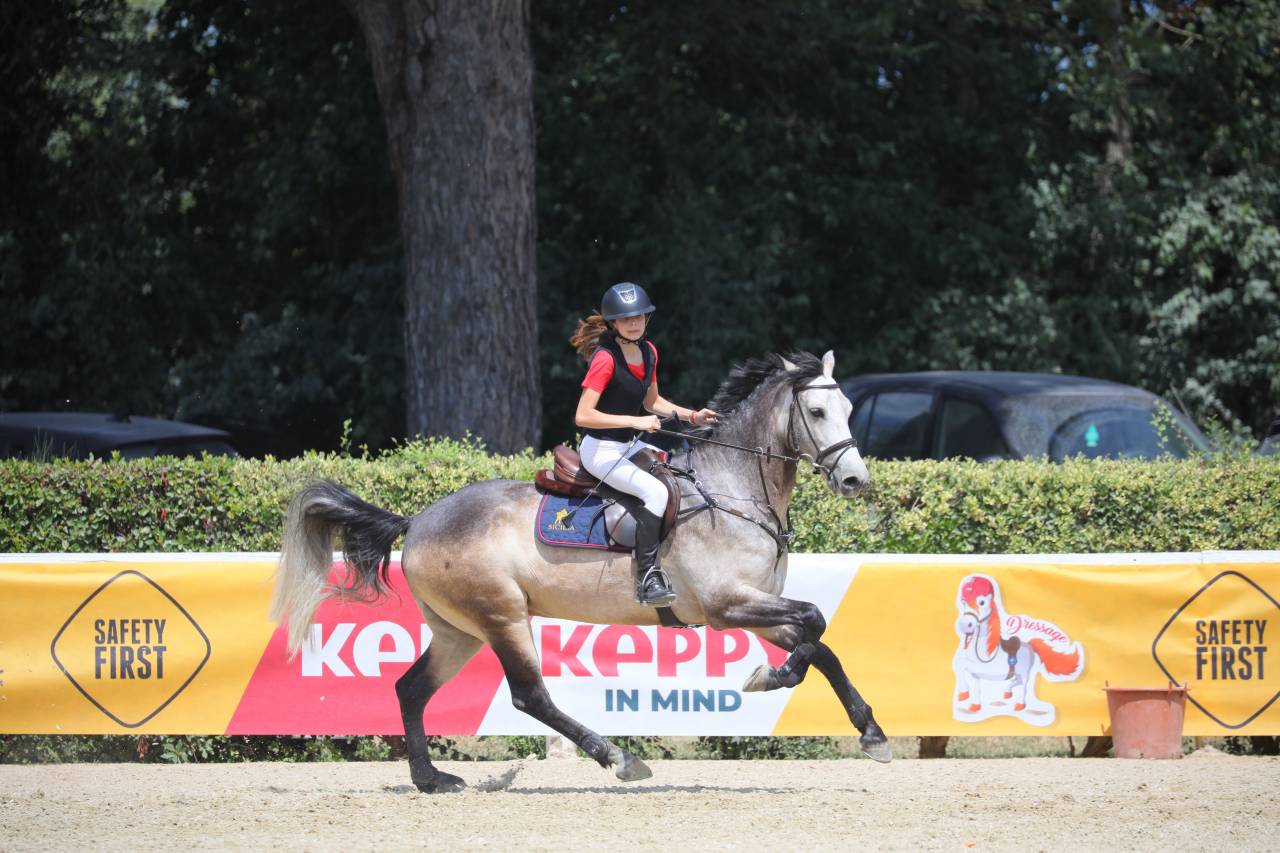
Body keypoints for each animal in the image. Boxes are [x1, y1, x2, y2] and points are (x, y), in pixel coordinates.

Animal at [271, 350, 891, 792]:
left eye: (848, 411)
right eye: (816, 413)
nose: (855, 480)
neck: (734, 489)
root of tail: (418, 518)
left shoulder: (754, 606)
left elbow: (820, 643)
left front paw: (871, 732)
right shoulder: (725, 605)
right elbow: (814, 623)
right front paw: (772, 677)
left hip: (458, 631)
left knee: (410, 689)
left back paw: (431, 780)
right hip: (501, 616)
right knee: (529, 697)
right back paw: (618, 758)